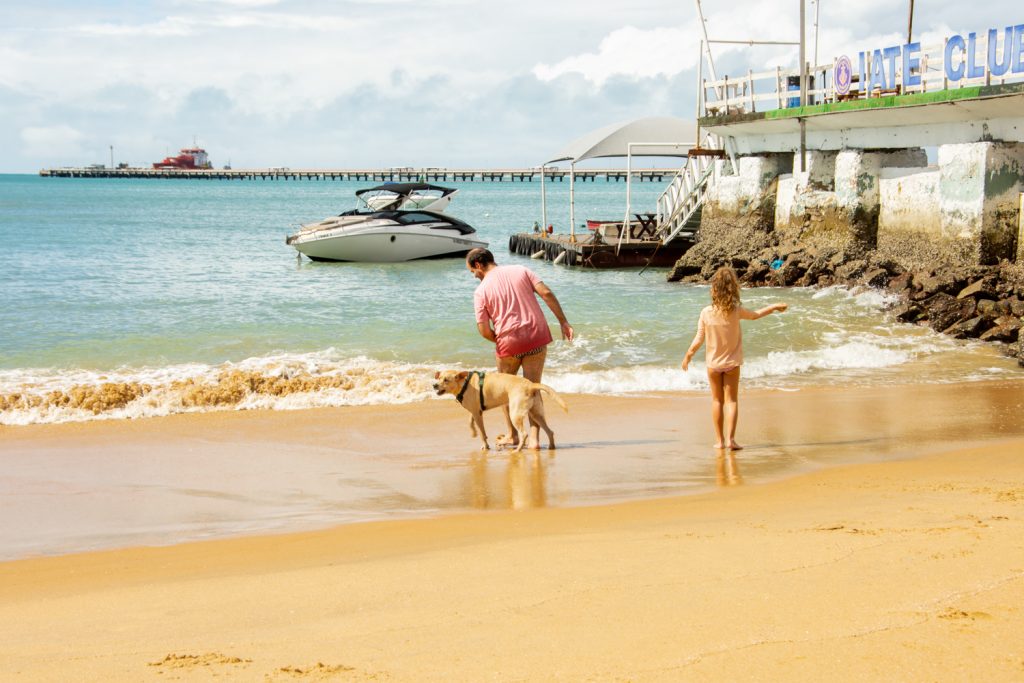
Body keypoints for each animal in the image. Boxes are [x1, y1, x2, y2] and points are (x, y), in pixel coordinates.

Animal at [432, 370, 569, 450]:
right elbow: (470, 421)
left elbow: (482, 433)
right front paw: (473, 432)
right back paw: (551, 447)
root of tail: (531, 385)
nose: (434, 385)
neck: (464, 383)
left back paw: (517, 450)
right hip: (536, 414)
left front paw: (485, 445)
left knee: (524, 434)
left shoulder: (477, 413)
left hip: (515, 414)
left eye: (446, 380)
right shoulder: (476, 411)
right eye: (439, 378)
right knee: (550, 431)